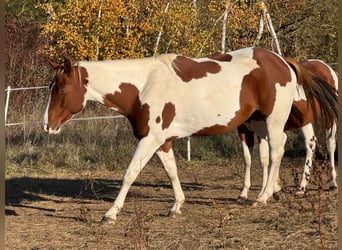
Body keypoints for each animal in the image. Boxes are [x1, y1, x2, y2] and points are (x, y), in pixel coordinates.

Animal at [238, 59, 340, 200]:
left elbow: (264, 158)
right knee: (310, 143)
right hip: (305, 121)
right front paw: (244, 192)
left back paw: (333, 184)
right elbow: (248, 159)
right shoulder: (243, 130)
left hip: (330, 117)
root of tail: (326, 67)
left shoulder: (264, 130)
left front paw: (264, 191)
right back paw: (302, 187)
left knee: (330, 144)